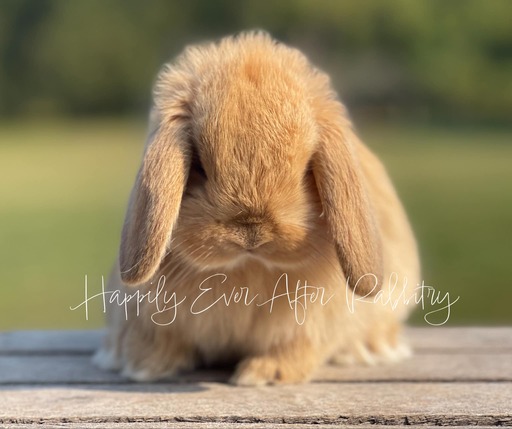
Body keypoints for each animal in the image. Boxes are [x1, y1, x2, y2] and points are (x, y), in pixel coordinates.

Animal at [93, 30, 420, 384]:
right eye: (200, 166)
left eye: (306, 168)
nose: (251, 232)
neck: (249, 269)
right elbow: (159, 340)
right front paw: (142, 366)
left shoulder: (313, 323)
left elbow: (298, 346)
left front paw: (264, 373)